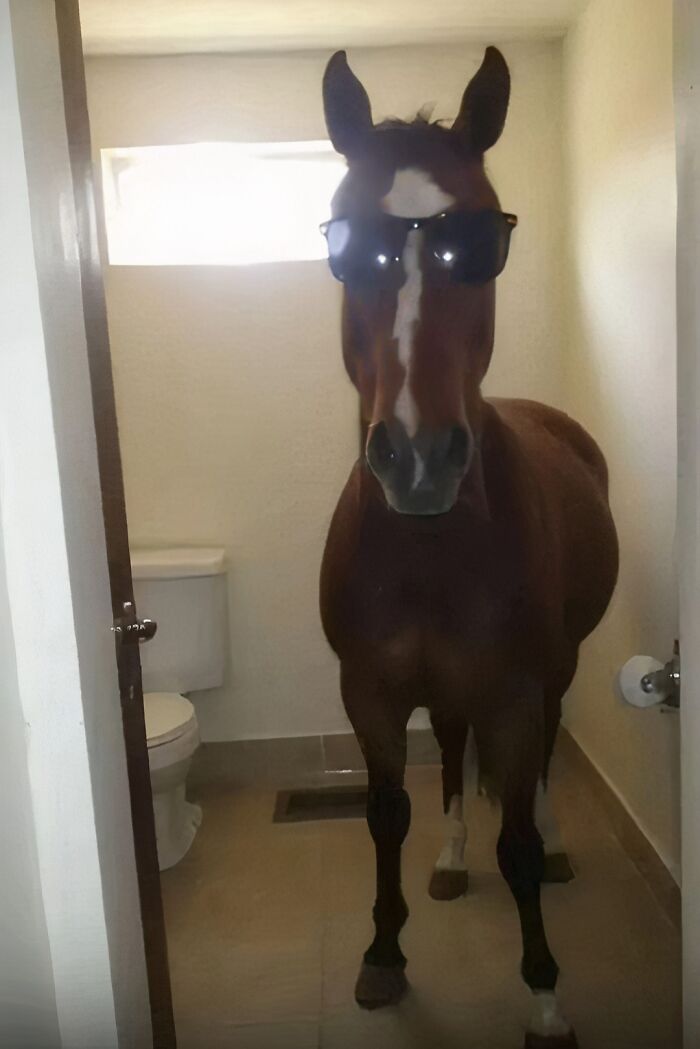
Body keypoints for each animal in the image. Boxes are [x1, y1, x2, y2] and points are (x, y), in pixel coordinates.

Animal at [318, 46, 618, 1048]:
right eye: (347, 244)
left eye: (478, 243)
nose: (417, 457)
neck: (427, 548)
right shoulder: (371, 691)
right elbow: (386, 813)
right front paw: (382, 952)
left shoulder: (515, 693)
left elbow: (516, 839)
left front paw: (545, 994)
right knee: (450, 754)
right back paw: (449, 856)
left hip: (558, 669)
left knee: (549, 759)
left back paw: (558, 843)